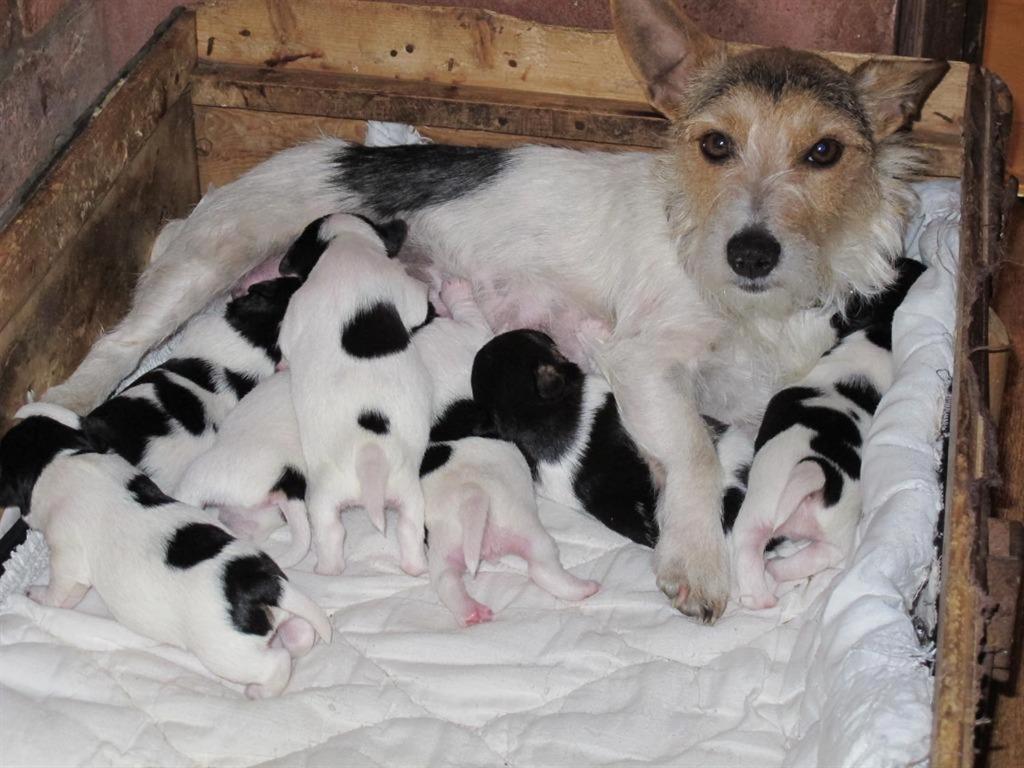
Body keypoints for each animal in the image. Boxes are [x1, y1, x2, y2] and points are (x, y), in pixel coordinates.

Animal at [0, 405, 329, 700]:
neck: (58, 458)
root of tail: (264, 585)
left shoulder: (66, 556)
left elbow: (59, 591)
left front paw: (38, 595)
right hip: (282, 616)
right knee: (301, 634)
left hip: (229, 652)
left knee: (276, 664)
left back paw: (260, 691)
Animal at [274, 214, 430, 573]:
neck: (345, 243)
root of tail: (370, 455)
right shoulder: (403, 289)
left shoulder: (296, 310)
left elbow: (285, 341)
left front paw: (283, 364)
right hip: (409, 492)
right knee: (410, 529)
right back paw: (416, 567)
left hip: (322, 498)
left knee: (329, 533)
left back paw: (327, 569)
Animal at [417, 438, 598, 626]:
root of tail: (470, 492)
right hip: (524, 527)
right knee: (544, 565)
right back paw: (585, 588)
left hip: (448, 544)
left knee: (445, 578)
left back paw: (470, 612)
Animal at [729, 262, 929, 610]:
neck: (875, 338)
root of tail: (820, 473)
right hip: (835, 536)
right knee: (819, 557)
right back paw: (780, 571)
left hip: (759, 508)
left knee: (749, 552)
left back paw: (762, 594)